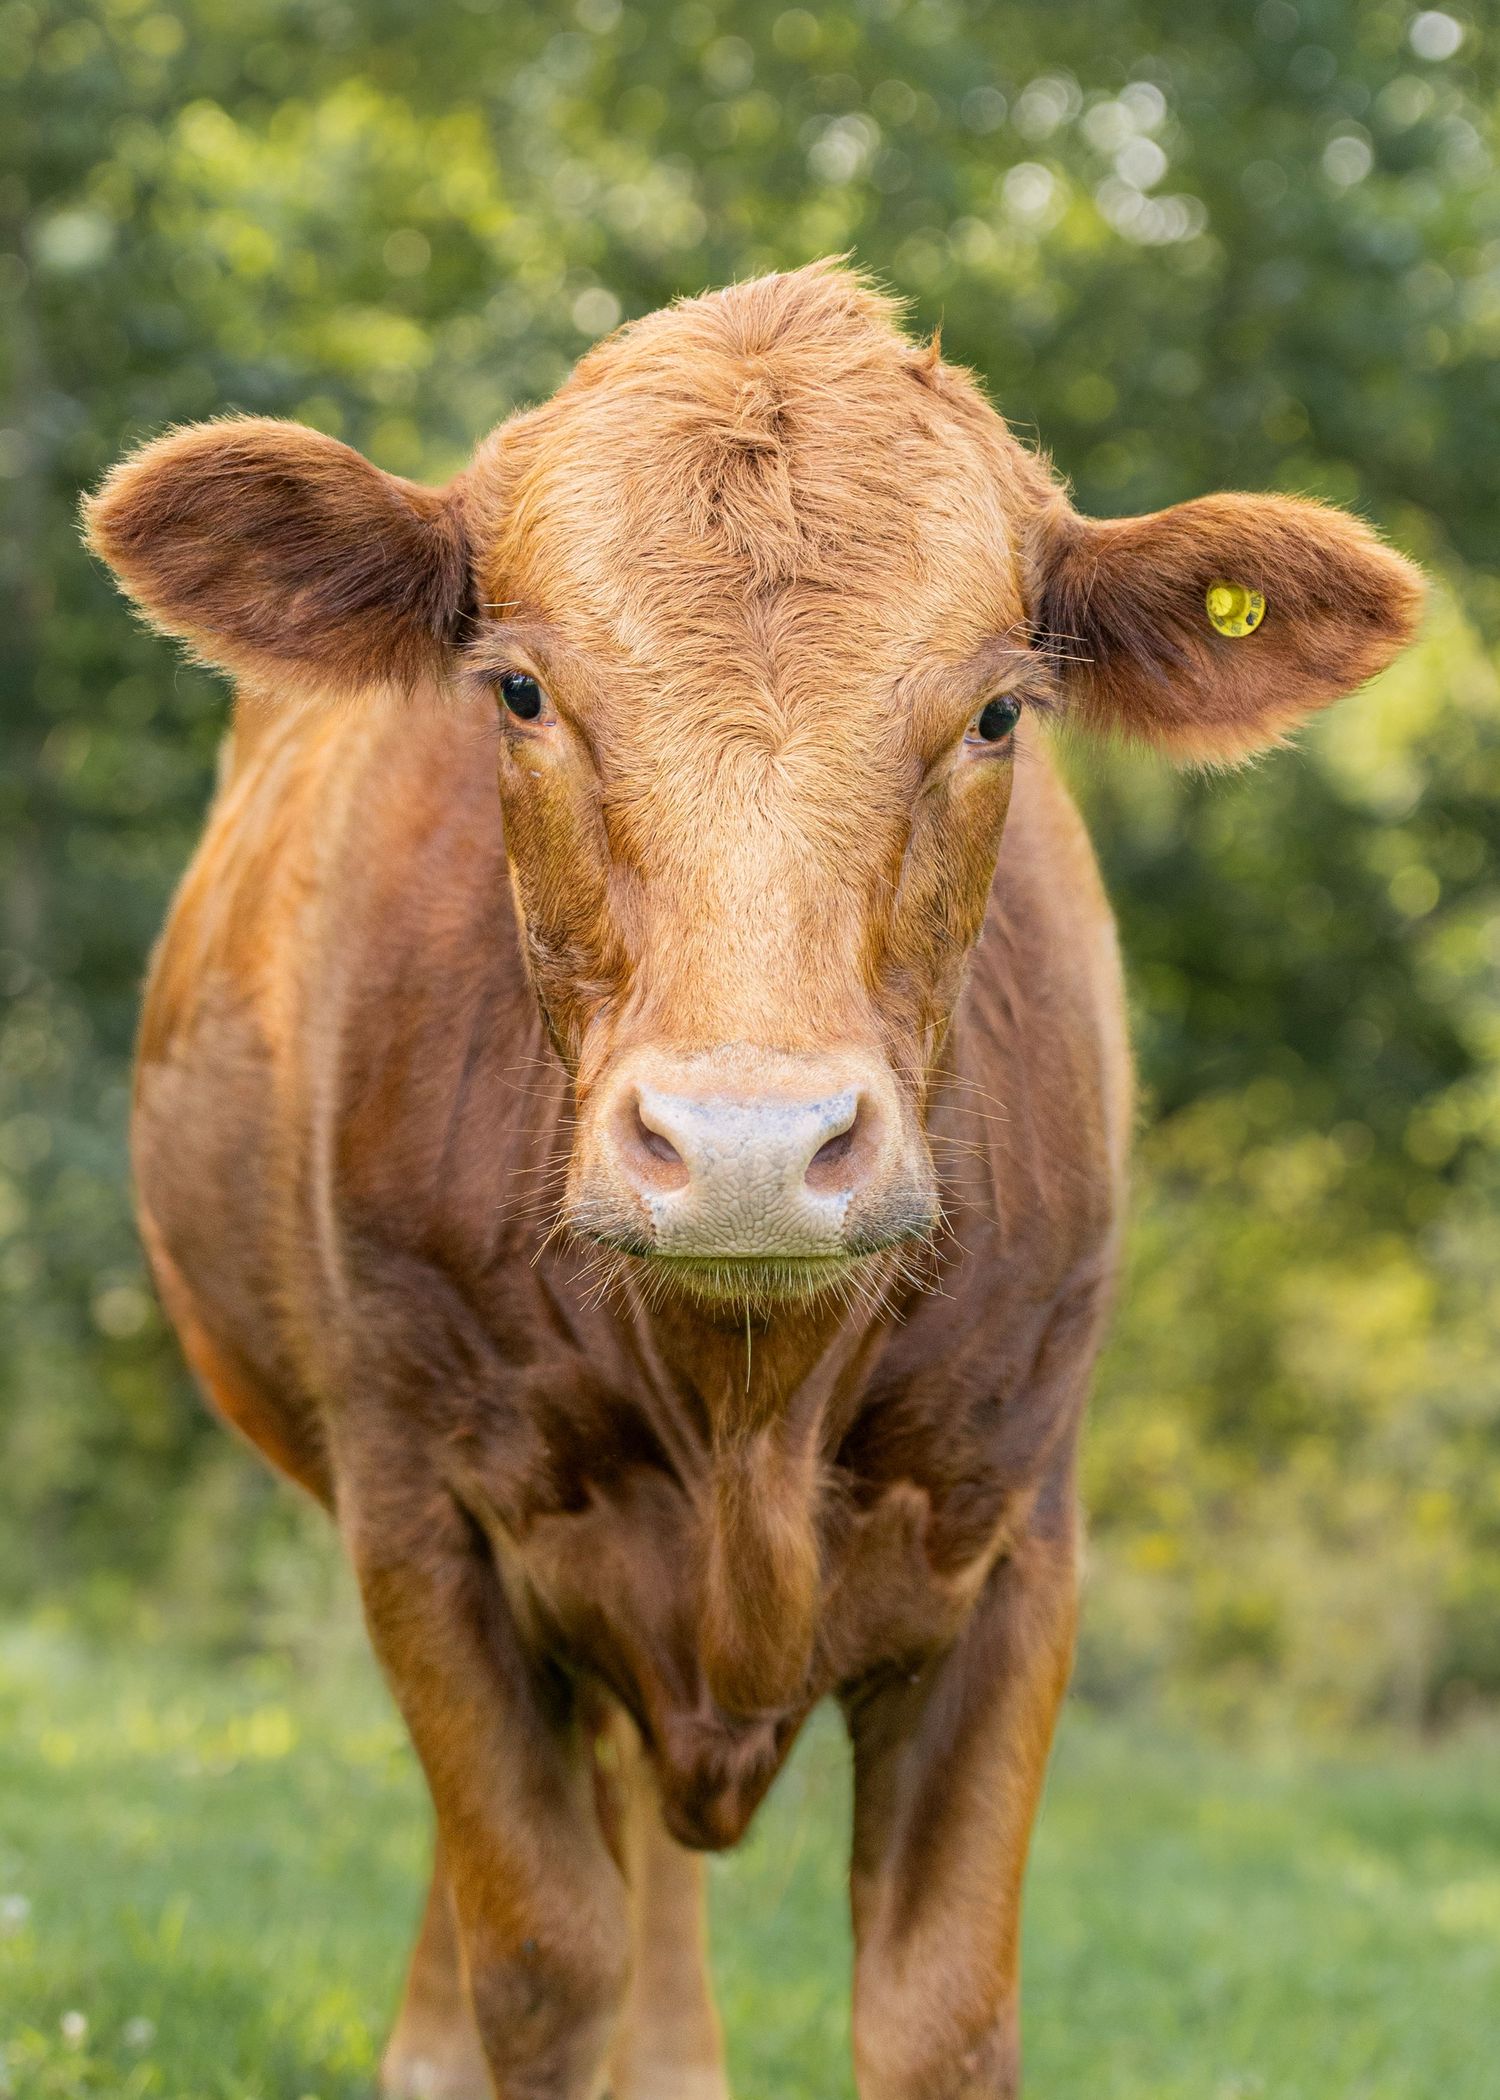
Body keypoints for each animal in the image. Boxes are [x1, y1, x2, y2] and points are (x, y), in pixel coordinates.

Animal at [84, 261, 1422, 2100]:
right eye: (517, 692)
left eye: (1000, 709)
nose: (746, 1151)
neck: (748, 1418)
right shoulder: (419, 1518)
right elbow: (543, 1956)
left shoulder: (1021, 1536)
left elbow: (938, 2008)